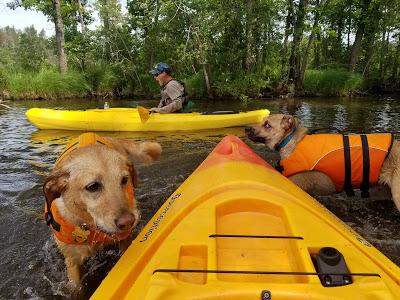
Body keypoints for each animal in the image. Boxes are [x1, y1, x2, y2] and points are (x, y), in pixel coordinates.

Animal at [43, 134, 162, 286]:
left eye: (124, 179)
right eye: (93, 186)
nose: (128, 222)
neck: (90, 227)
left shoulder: (125, 241)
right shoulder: (72, 262)